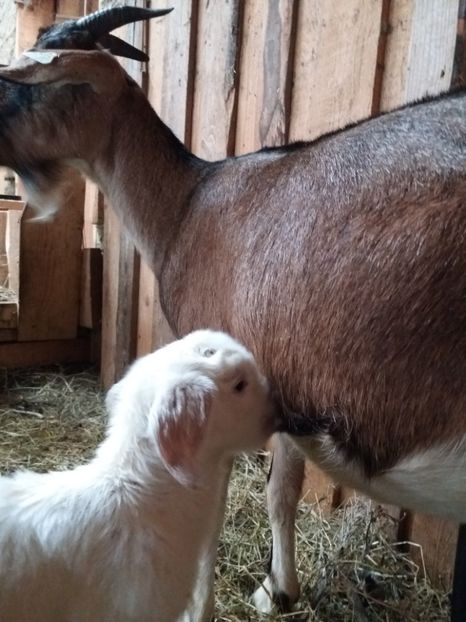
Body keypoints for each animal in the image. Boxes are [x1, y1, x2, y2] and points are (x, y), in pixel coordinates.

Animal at [0, 7, 464, 616]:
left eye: (33, 82)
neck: (188, 204)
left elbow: (223, 515)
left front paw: (235, 598)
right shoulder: (284, 383)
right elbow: (283, 488)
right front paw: (280, 588)